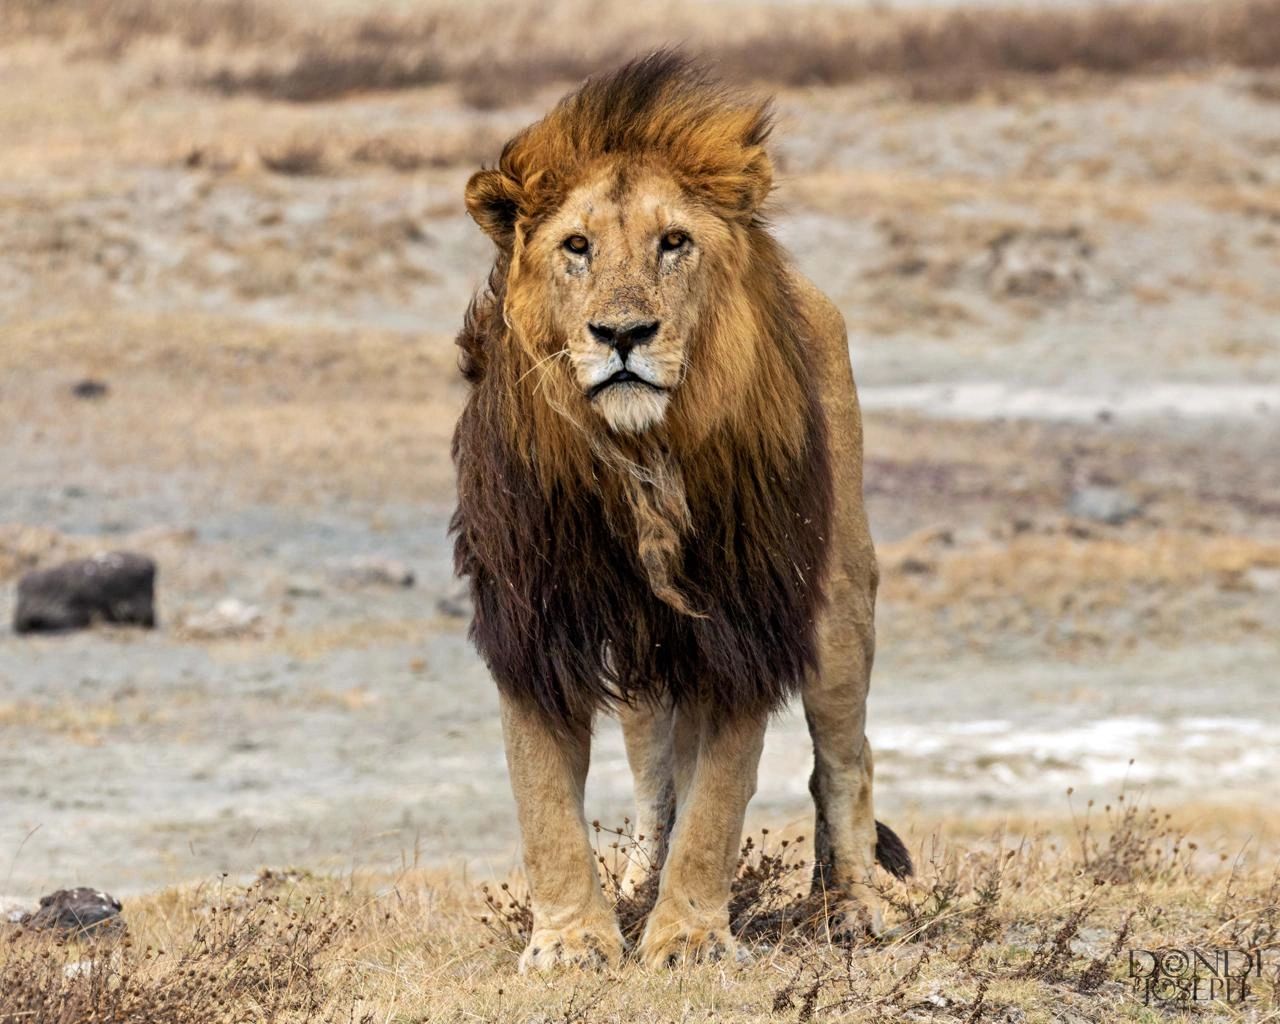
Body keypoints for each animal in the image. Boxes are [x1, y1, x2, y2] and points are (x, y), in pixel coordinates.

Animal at [451, 53, 911, 971]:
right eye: (577, 247)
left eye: (675, 242)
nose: (623, 333)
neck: (643, 461)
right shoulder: (533, 617)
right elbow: (546, 804)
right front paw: (573, 943)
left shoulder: (745, 616)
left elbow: (720, 804)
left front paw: (692, 939)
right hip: (646, 661)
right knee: (656, 782)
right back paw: (636, 890)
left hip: (839, 604)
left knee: (845, 761)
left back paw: (853, 907)